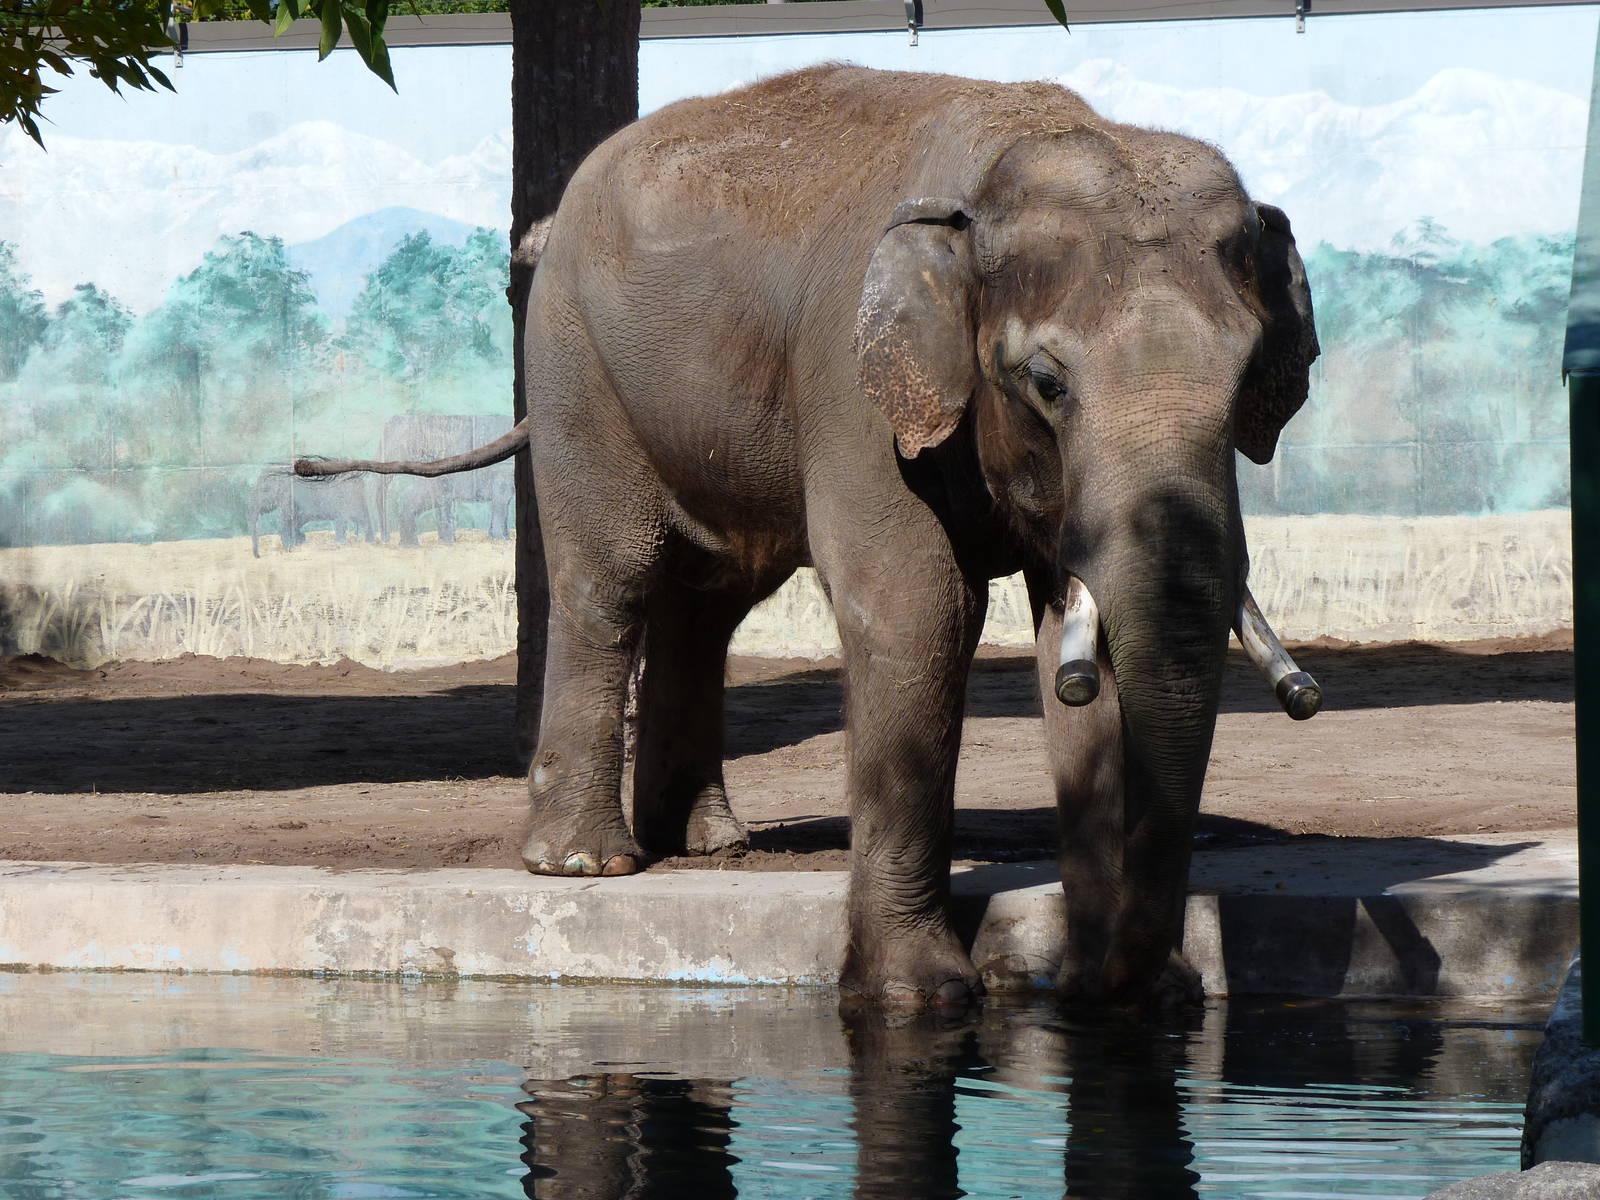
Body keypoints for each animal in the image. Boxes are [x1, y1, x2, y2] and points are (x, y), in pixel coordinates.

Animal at [373, 415, 515, 546]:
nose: (385, 539)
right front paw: (501, 539)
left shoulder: (503, 468)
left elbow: (502, 497)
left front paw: (501, 539)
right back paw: (413, 545)